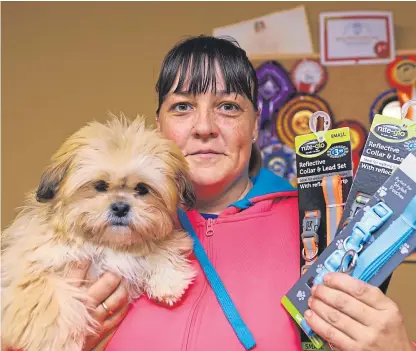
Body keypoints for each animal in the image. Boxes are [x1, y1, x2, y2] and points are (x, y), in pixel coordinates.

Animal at [1, 115, 197, 351]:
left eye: (142, 189)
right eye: (100, 186)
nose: (120, 207)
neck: (104, 244)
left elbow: (160, 244)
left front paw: (168, 278)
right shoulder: (34, 267)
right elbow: (49, 302)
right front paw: (56, 342)